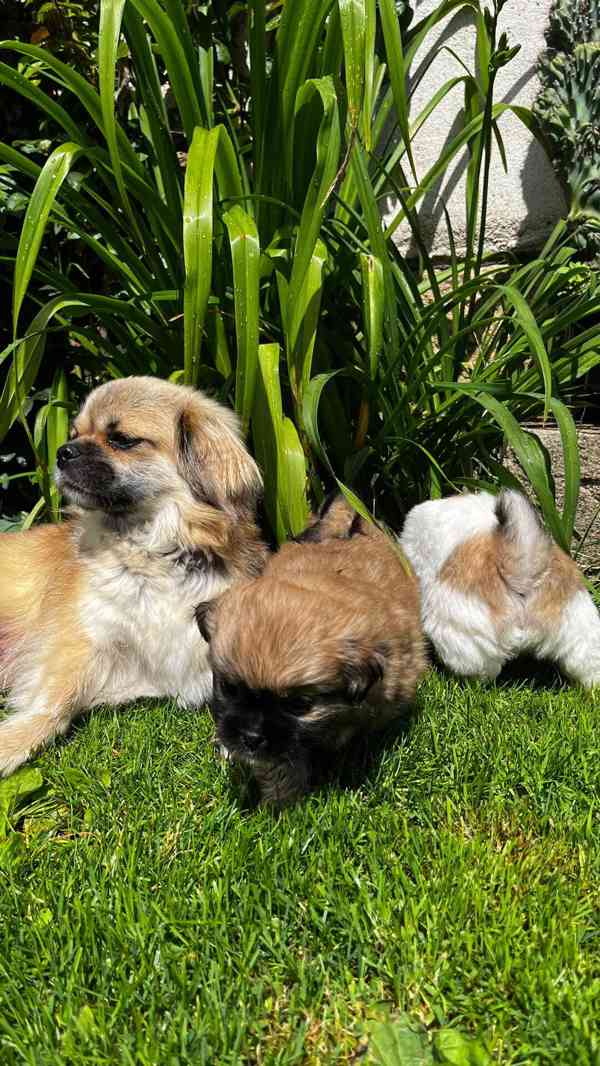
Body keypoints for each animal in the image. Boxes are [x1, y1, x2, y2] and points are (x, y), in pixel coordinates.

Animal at [0, 375, 267, 776]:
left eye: (122, 440)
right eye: (75, 433)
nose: (63, 451)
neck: (155, 555)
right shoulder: (80, 639)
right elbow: (54, 703)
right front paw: (11, 742)